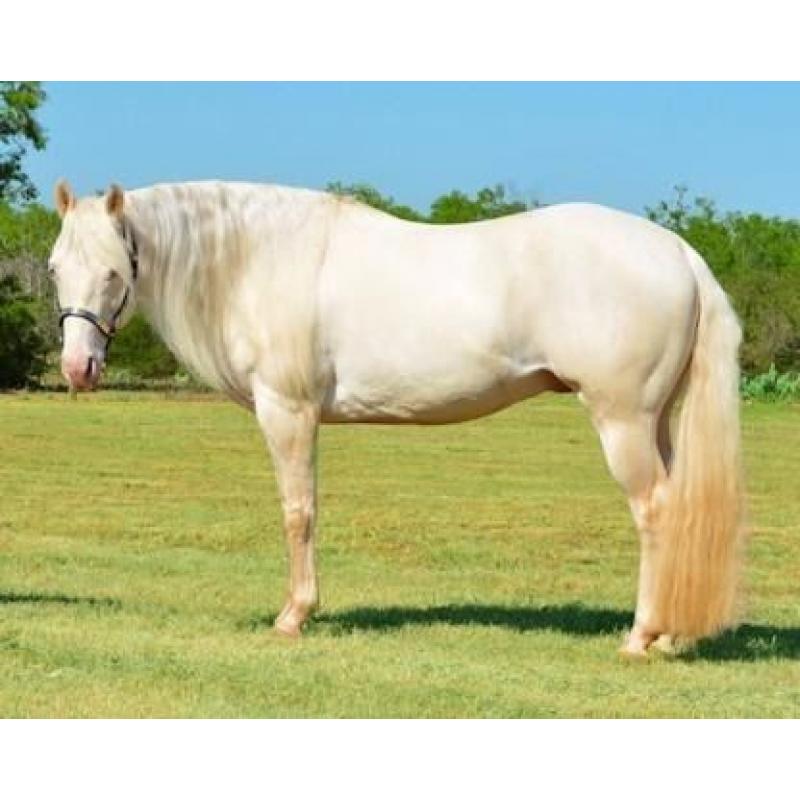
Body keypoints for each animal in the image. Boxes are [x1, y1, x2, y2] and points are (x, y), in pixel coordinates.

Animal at [48, 179, 746, 657]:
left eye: (114, 270)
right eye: (55, 268)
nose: (78, 367)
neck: (258, 263)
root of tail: (678, 251)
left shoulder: (288, 411)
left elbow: (299, 512)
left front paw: (294, 616)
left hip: (623, 420)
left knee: (655, 510)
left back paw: (641, 636)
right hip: (657, 420)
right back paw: (670, 635)